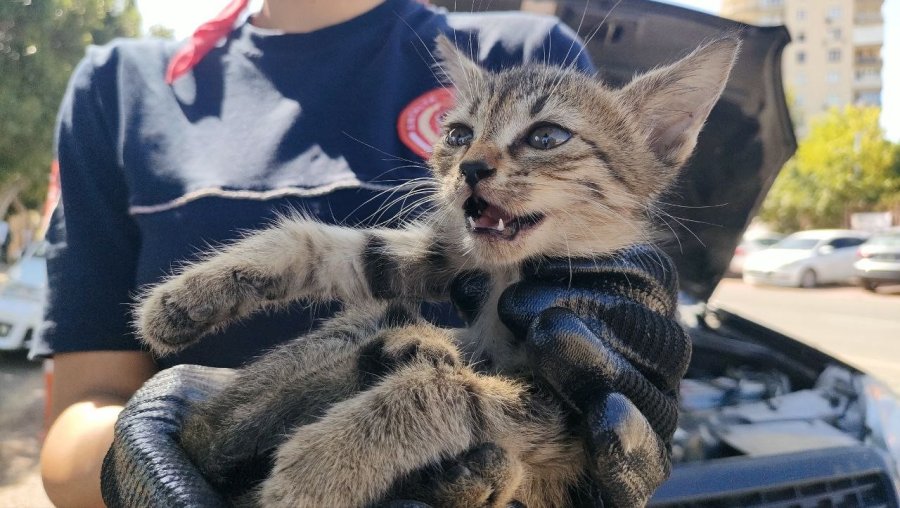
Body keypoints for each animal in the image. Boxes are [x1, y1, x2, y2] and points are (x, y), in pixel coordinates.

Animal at [135, 35, 740, 508]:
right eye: (457, 135)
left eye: (547, 137)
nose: (470, 167)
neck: (507, 277)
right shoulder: (451, 258)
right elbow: (340, 247)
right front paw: (193, 294)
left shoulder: (573, 407)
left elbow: (447, 391)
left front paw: (321, 466)